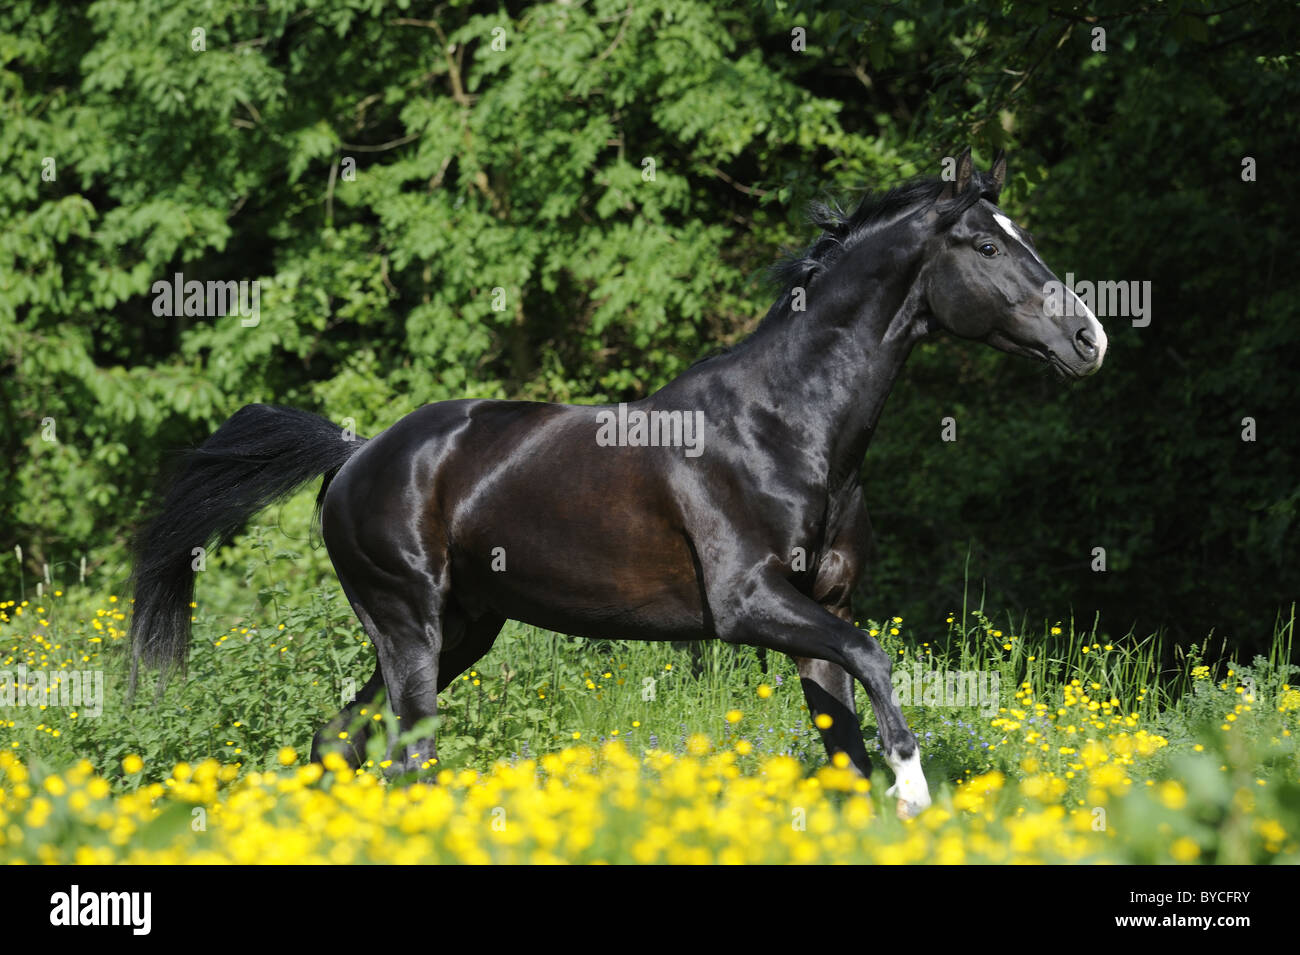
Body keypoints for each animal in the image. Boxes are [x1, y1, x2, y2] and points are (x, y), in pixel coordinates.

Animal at [129, 149, 1107, 815]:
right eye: (983, 244)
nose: (1090, 338)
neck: (785, 425)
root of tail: (358, 451)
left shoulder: (813, 611)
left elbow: (842, 745)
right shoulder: (749, 603)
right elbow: (876, 662)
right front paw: (915, 788)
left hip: (461, 630)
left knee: (341, 738)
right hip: (408, 623)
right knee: (407, 756)